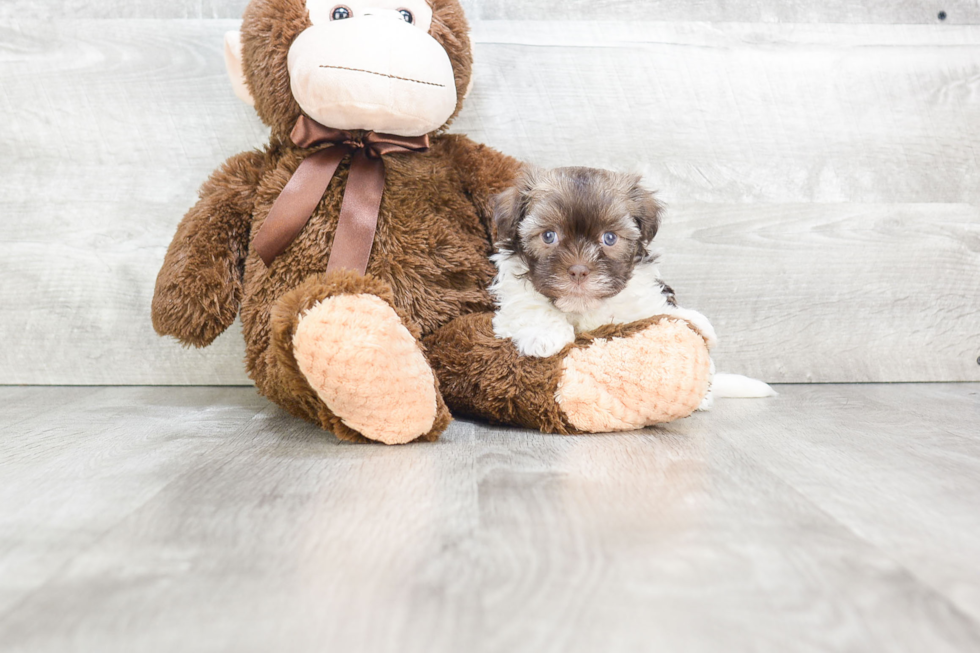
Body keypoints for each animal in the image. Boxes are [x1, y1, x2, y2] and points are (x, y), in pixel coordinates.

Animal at [490, 163, 720, 356]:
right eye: (548, 236)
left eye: (609, 238)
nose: (578, 271)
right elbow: (529, 306)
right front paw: (544, 334)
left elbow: (650, 312)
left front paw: (693, 320)